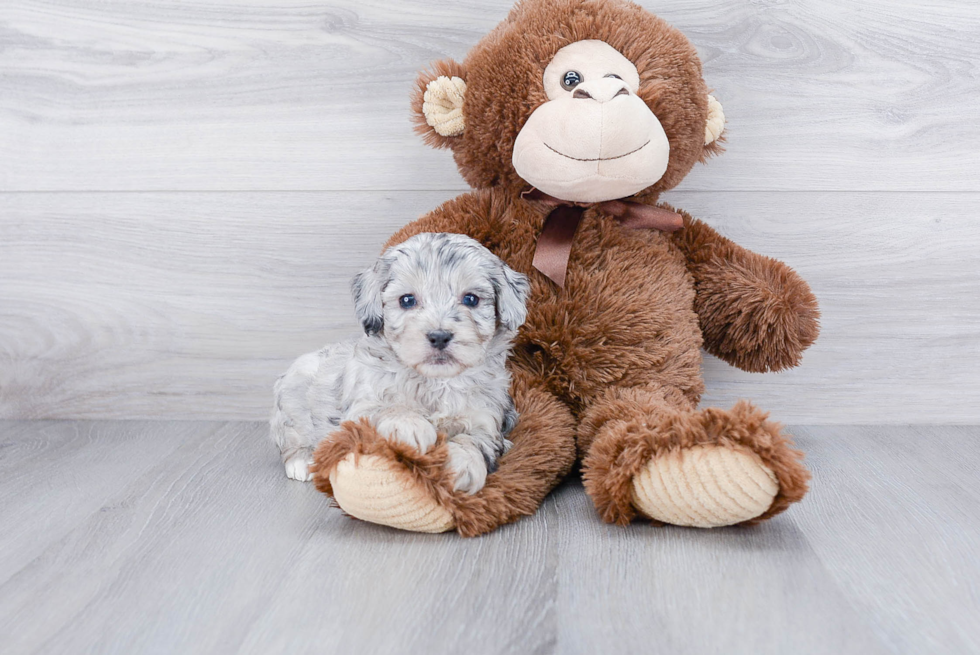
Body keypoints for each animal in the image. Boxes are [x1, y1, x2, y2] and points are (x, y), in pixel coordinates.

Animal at [268, 233, 528, 494]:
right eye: (407, 300)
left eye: (471, 299)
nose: (439, 336)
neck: (435, 382)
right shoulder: (360, 407)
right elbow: (388, 407)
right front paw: (410, 426)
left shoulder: (487, 418)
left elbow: (474, 440)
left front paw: (461, 464)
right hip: (292, 399)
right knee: (291, 434)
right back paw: (301, 461)